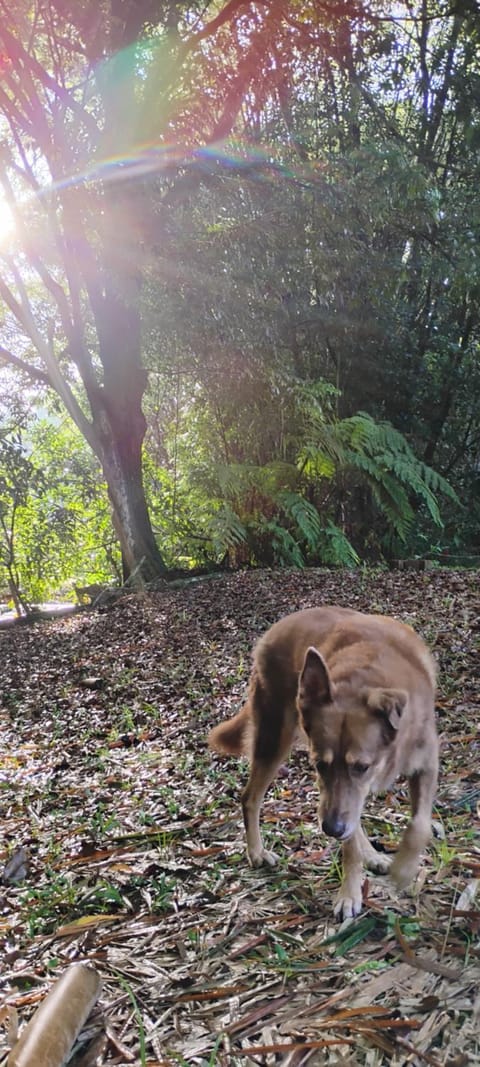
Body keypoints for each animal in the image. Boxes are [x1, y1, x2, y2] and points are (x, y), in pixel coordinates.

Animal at [208, 606, 437, 921]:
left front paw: (404, 868)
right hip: (273, 740)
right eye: (319, 765)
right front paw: (350, 894)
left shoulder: (426, 764)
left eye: (362, 767)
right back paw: (256, 852)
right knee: (250, 797)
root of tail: (273, 630)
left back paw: (371, 853)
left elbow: (419, 825)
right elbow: (350, 847)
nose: (331, 829)